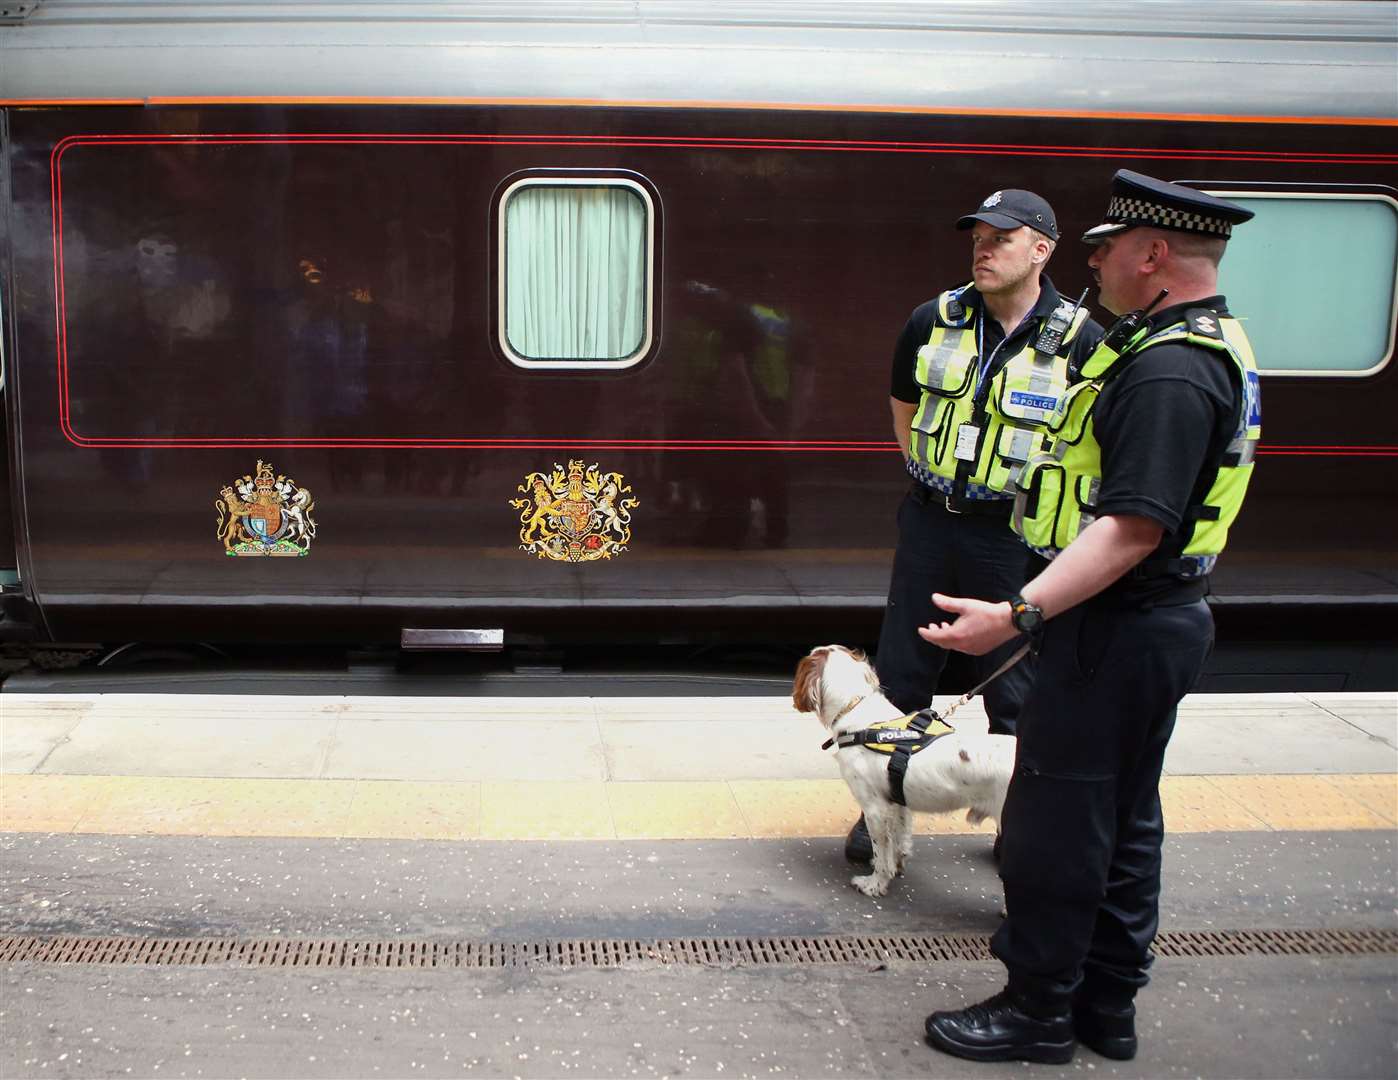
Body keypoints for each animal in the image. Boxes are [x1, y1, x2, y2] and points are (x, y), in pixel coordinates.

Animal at [794, 645, 1012, 899]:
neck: (858, 711)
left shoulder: (875, 809)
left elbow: (881, 852)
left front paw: (874, 884)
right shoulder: (897, 801)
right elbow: (900, 838)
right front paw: (897, 866)